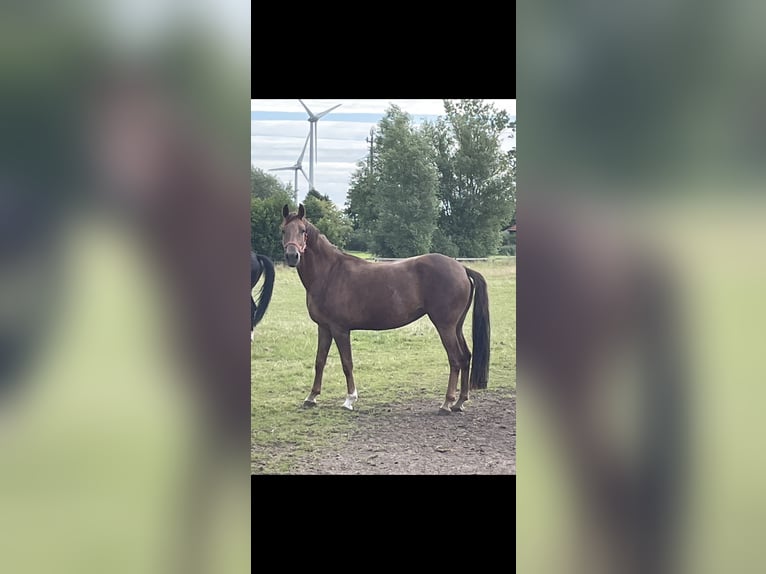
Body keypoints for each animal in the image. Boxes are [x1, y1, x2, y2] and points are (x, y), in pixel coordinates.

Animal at [282, 205, 492, 416]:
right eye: (283, 230)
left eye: (303, 231)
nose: (292, 256)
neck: (330, 273)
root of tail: (462, 268)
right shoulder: (324, 328)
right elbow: (320, 361)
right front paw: (311, 397)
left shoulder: (340, 329)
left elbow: (347, 363)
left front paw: (350, 399)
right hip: (456, 326)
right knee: (466, 357)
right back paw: (460, 402)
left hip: (445, 327)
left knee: (455, 359)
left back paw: (447, 403)